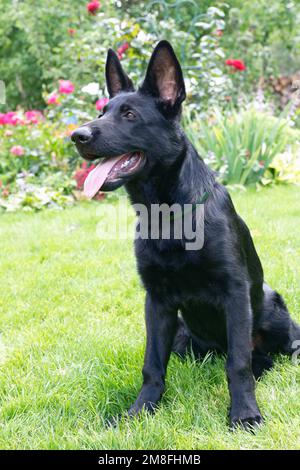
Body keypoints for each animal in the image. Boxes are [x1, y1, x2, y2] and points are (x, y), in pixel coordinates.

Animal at [72, 40, 300, 430]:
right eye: (102, 112)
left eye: (129, 114)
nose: (77, 136)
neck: (169, 216)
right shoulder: (157, 302)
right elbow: (152, 366)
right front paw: (140, 411)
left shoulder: (235, 294)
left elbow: (238, 364)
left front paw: (244, 413)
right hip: (180, 331)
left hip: (270, 306)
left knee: (272, 352)